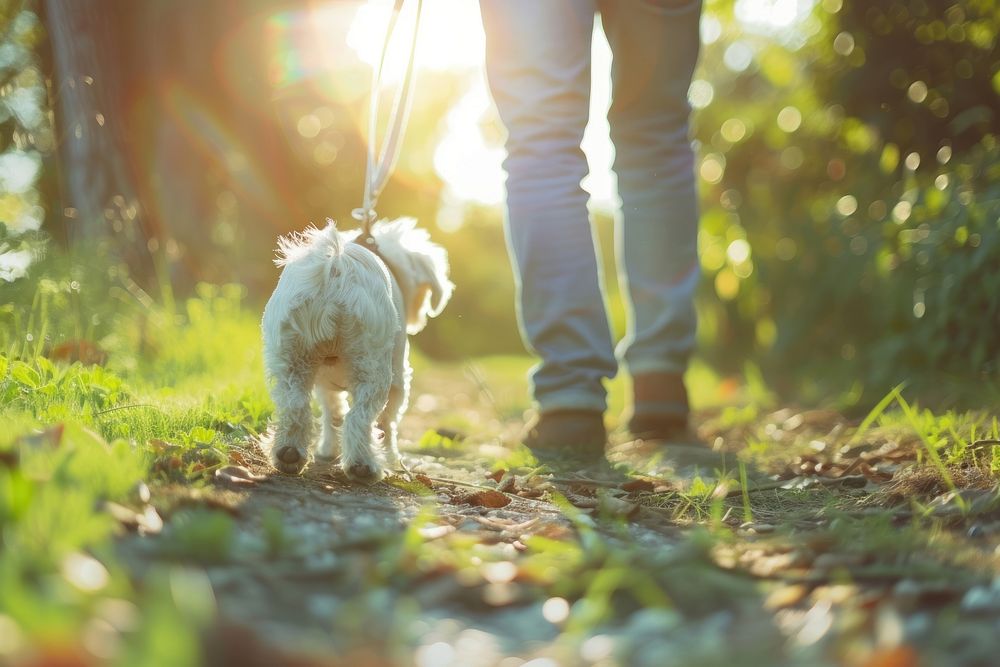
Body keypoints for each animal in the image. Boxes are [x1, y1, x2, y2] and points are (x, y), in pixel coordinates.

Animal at [264, 219, 456, 480]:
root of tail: (336, 268)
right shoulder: (399, 379)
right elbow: (387, 422)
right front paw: (391, 455)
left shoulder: (325, 383)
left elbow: (333, 412)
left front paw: (329, 449)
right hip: (373, 366)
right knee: (360, 417)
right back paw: (364, 466)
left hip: (292, 358)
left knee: (296, 406)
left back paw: (288, 454)